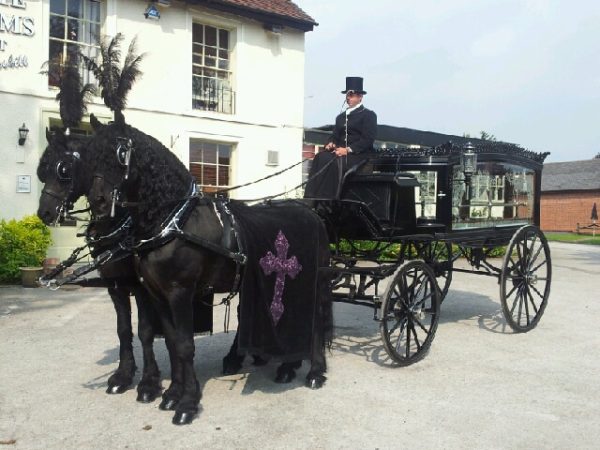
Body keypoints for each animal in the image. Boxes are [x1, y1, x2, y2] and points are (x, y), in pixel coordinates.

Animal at [37, 116, 332, 426]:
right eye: (91, 159)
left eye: (65, 169)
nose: (100, 202)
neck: (170, 221)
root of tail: (311, 213)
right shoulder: (141, 289)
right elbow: (165, 339)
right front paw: (168, 392)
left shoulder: (176, 292)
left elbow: (178, 343)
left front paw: (182, 401)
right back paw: (279, 362)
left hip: (309, 280)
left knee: (315, 319)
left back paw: (313, 371)